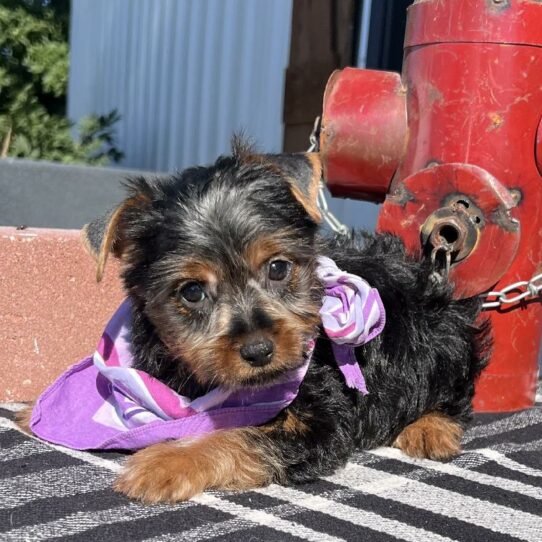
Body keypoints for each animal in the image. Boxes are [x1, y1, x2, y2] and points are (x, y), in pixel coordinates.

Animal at [23, 142, 490, 504]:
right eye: (192, 292)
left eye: (278, 269)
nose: (259, 351)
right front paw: (33, 410)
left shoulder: (321, 420)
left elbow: (239, 434)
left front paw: (170, 460)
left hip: (441, 337)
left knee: (456, 390)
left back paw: (430, 428)